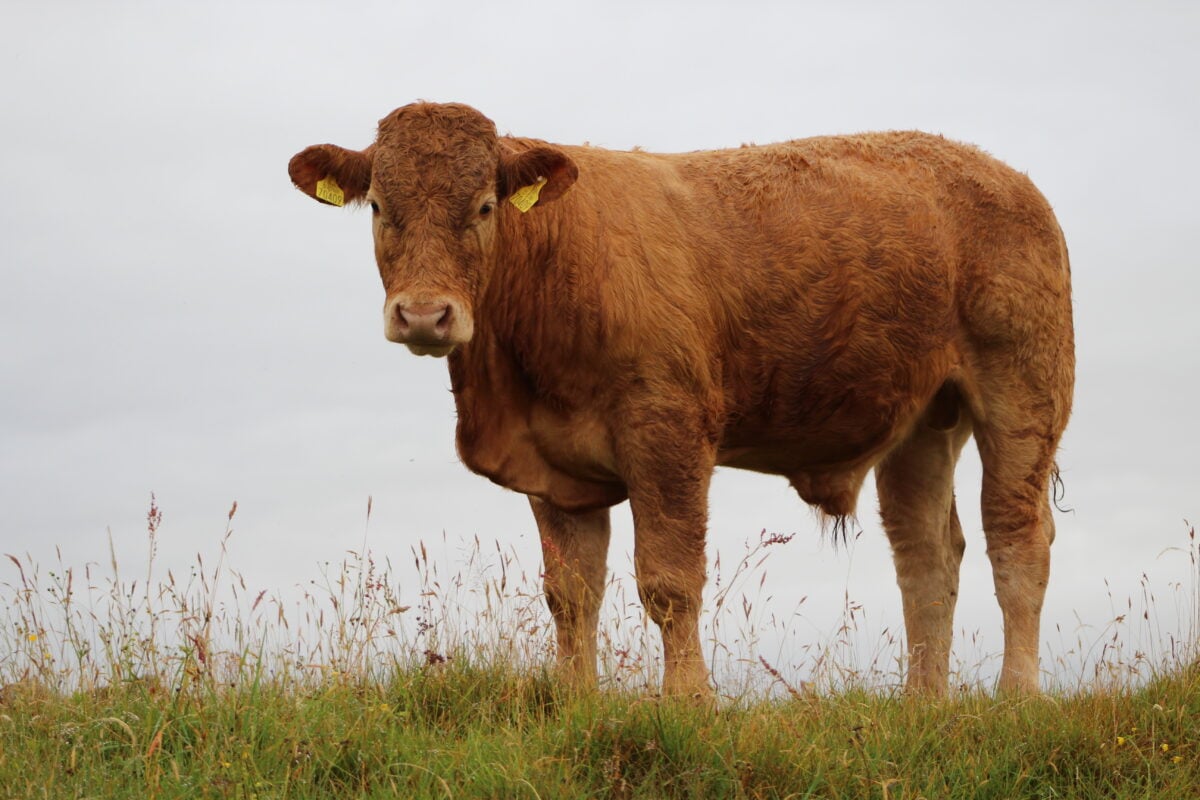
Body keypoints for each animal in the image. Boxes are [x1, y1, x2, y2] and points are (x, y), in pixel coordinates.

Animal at [285, 100, 1075, 695]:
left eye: (483, 207)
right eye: (379, 206)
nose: (424, 315)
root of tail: (1007, 177)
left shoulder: (668, 432)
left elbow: (669, 581)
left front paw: (690, 702)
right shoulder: (555, 468)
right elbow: (571, 594)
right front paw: (576, 703)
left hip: (1023, 395)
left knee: (1017, 543)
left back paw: (1015, 699)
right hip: (923, 424)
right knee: (928, 558)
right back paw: (922, 706)